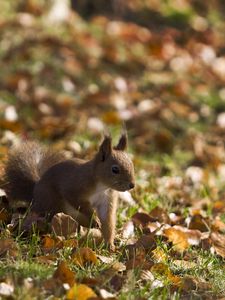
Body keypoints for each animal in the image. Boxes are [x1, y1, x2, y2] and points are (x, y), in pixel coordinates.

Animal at [3, 133, 135, 248]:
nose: (132, 185)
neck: (102, 187)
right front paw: (94, 218)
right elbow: (78, 202)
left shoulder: (107, 199)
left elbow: (107, 221)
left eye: (132, 164)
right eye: (115, 169)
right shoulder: (74, 187)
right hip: (50, 203)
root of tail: (35, 193)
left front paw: (110, 244)